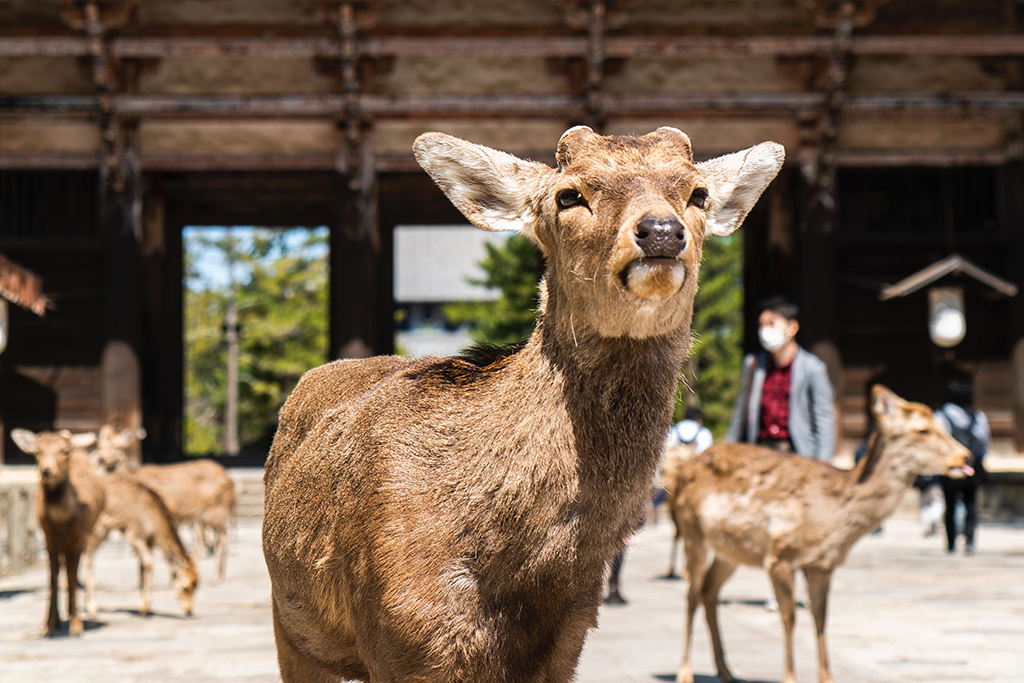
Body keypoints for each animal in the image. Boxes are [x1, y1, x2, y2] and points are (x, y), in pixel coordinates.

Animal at [11, 430, 104, 638]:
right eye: (37, 451)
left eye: (64, 451)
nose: (47, 471)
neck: (61, 521)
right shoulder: (48, 536)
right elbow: (53, 577)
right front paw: (49, 624)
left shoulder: (77, 536)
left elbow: (71, 573)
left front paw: (76, 626)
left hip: (88, 534)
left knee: (76, 568)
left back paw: (75, 612)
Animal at [83, 430, 197, 622]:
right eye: (186, 587)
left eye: (198, 585)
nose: (189, 611)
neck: (155, 527)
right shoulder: (134, 534)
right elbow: (149, 563)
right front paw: (145, 609)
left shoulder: (147, 541)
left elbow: (141, 568)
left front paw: (141, 606)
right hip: (96, 528)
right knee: (87, 556)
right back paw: (91, 609)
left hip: (103, 531)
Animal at [260, 125, 778, 679]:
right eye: (568, 195)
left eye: (698, 193)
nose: (661, 231)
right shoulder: (402, 640)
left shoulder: (568, 642)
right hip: (292, 629)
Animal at [667, 387, 970, 683]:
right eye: (923, 430)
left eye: (940, 424)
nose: (966, 456)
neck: (831, 521)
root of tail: (682, 469)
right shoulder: (779, 556)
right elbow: (789, 617)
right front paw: (789, 678)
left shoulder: (822, 565)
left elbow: (821, 619)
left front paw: (827, 678)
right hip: (692, 531)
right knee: (691, 594)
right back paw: (685, 672)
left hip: (730, 550)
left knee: (709, 591)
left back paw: (726, 671)